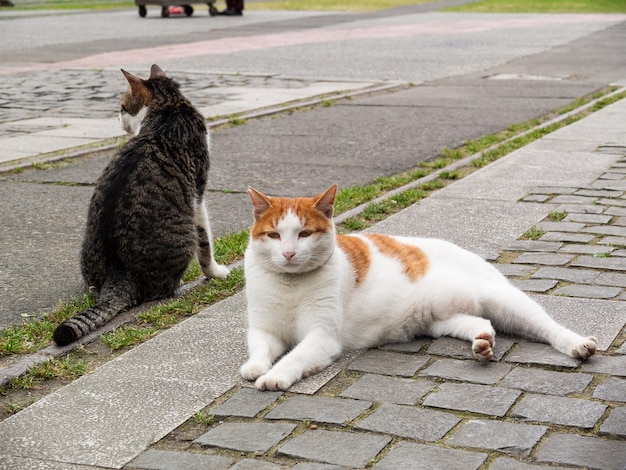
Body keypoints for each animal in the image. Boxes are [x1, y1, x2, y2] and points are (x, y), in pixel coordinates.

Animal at [53, 64, 229, 346]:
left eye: (123, 107)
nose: (118, 121)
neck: (170, 105)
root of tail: (117, 275)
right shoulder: (198, 193)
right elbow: (206, 244)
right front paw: (216, 273)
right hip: (182, 236)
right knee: (162, 289)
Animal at [239, 185, 596, 392]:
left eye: (304, 234)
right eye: (274, 235)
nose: (288, 253)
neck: (290, 284)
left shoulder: (322, 337)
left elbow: (294, 357)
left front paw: (275, 375)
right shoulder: (264, 329)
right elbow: (261, 348)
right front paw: (256, 367)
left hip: (503, 299)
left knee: (547, 326)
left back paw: (577, 344)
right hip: (441, 320)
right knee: (481, 321)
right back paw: (482, 343)